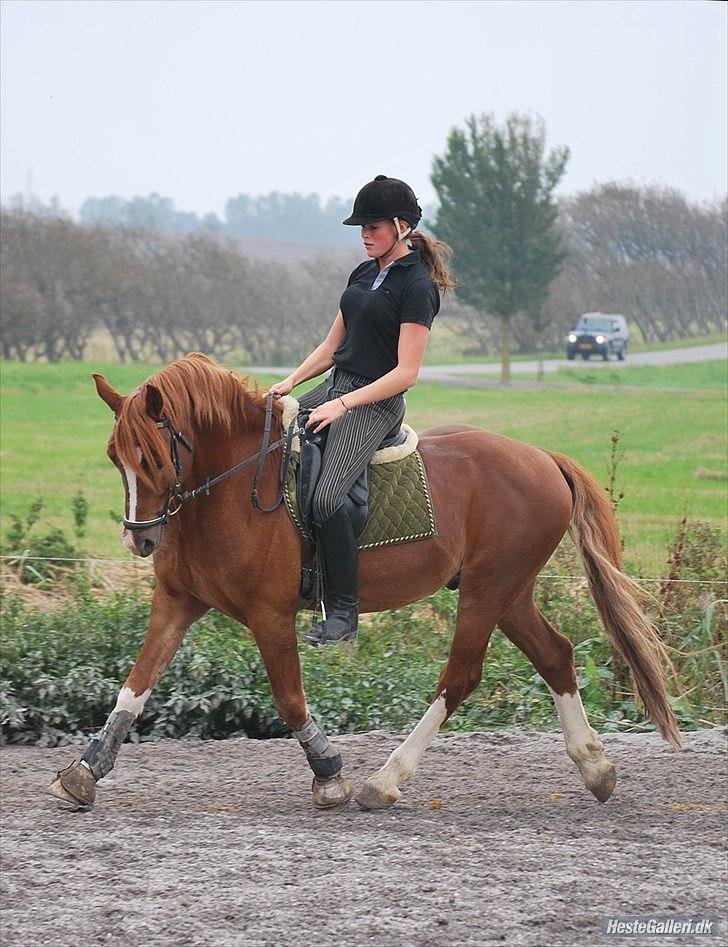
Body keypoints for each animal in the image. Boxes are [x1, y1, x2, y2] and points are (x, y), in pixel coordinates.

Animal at [48, 352, 680, 812]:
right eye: (115, 457)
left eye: (155, 459)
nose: (139, 541)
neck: (227, 490)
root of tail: (543, 458)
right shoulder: (177, 601)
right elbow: (135, 685)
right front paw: (84, 771)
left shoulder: (269, 615)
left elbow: (290, 700)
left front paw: (330, 776)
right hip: (508, 591)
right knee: (555, 655)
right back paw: (596, 769)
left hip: (488, 591)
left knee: (460, 677)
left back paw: (386, 780)